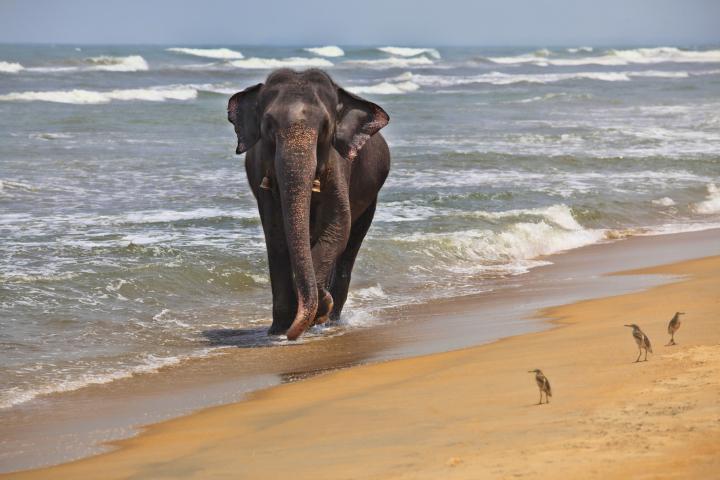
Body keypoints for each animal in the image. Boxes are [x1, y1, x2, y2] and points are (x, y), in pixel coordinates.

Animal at [227, 69, 390, 340]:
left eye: (324, 127)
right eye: (268, 126)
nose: (291, 335)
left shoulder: (338, 166)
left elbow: (338, 225)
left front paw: (318, 309)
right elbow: (275, 232)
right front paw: (280, 329)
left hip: (371, 196)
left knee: (352, 242)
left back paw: (332, 320)